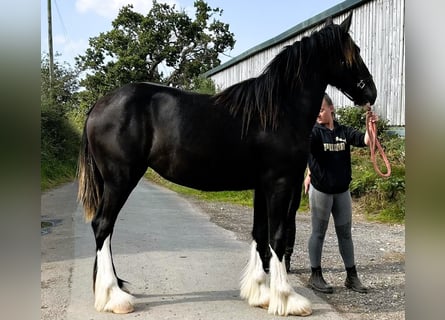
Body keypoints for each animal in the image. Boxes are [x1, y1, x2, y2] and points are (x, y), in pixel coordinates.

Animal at [77, 13, 374, 316]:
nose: (371, 93)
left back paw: (115, 287)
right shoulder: (279, 184)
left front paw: (260, 293)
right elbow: (277, 236)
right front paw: (286, 298)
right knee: (103, 226)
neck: (279, 111)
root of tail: (99, 105)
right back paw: (114, 296)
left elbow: (260, 234)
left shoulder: (262, 186)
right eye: (355, 52)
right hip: (120, 180)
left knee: (106, 229)